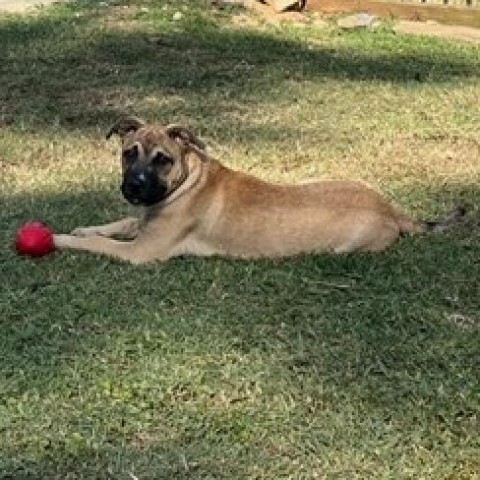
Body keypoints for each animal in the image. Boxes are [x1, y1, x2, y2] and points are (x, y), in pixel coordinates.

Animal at [53, 117, 464, 264]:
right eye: (129, 153)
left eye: (162, 160)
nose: (134, 186)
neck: (187, 183)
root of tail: (393, 211)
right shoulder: (142, 224)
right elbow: (120, 221)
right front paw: (85, 227)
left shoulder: (142, 251)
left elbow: (100, 242)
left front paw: (60, 238)